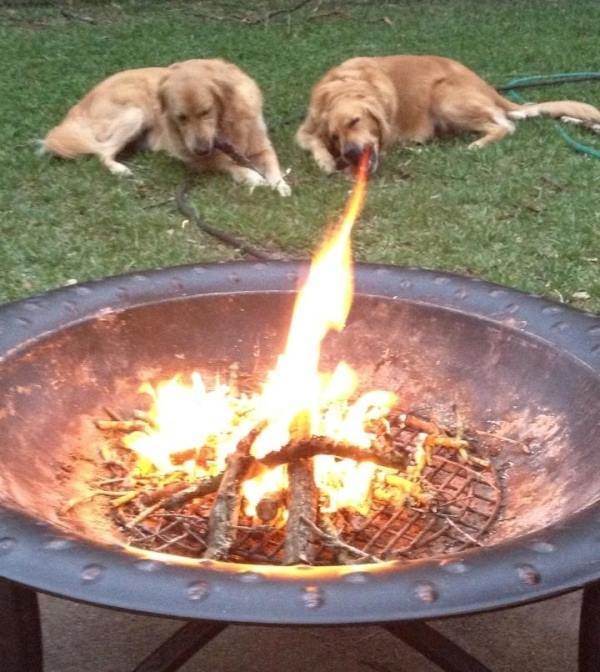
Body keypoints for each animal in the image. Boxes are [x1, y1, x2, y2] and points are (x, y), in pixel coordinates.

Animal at [42, 58, 290, 196]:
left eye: (206, 112)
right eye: (181, 117)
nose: (201, 149)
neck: (225, 126)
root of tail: (79, 107)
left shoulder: (261, 146)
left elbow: (273, 165)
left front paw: (281, 184)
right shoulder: (196, 159)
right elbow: (227, 163)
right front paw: (252, 176)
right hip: (135, 113)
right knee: (102, 152)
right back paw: (120, 169)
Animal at [296, 54, 600, 173]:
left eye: (355, 121)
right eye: (335, 136)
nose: (350, 154)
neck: (343, 86)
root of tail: (487, 86)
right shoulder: (304, 129)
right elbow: (312, 140)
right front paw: (325, 159)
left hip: (444, 98)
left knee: (504, 125)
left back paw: (477, 144)